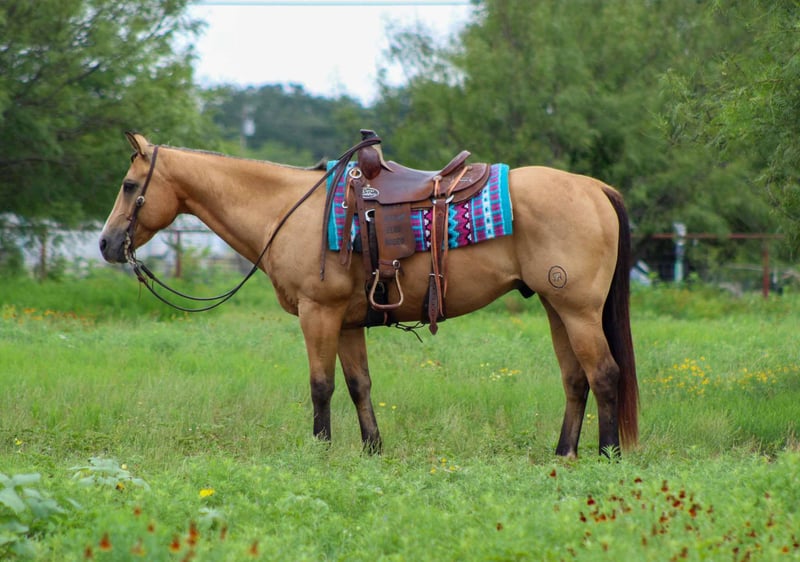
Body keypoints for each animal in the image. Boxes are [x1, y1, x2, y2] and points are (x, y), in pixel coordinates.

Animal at [99, 131, 638, 458]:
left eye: (128, 185)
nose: (106, 243)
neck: (289, 210)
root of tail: (596, 189)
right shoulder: (347, 322)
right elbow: (359, 384)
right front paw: (371, 450)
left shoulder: (318, 314)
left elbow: (321, 386)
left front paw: (320, 451)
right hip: (556, 308)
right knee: (576, 379)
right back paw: (563, 453)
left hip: (578, 310)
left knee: (604, 375)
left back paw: (606, 454)